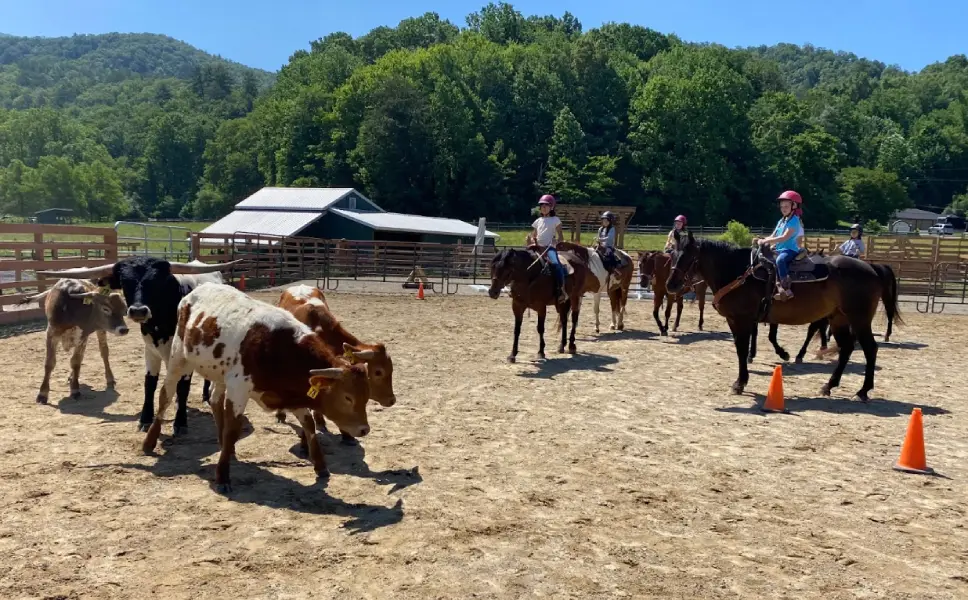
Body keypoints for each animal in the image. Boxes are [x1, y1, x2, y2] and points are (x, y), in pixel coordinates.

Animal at [37, 255, 242, 434]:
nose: (138, 311)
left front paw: (180, 422)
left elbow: (183, 388)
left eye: (157, 282)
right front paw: (145, 419)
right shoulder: (150, 350)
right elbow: (149, 384)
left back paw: (206, 395)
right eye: (125, 282)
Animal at [142, 282, 372, 492]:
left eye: (366, 396)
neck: (278, 348)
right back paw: (149, 441)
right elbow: (233, 428)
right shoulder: (239, 389)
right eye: (347, 397)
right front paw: (223, 476)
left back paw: (224, 445)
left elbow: (308, 424)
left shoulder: (293, 392)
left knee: (215, 399)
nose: (364, 429)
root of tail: (198, 289)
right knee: (165, 396)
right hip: (178, 358)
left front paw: (320, 465)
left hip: (219, 373)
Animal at [664, 231, 900, 404]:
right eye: (672, 254)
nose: (671, 285)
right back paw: (828, 386)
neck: (738, 272)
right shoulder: (735, 321)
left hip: (859, 319)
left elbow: (743, 349)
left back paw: (863, 391)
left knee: (870, 348)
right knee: (847, 348)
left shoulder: (743, 320)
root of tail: (871, 267)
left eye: (689, 257)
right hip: (838, 319)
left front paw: (740, 382)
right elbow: (743, 348)